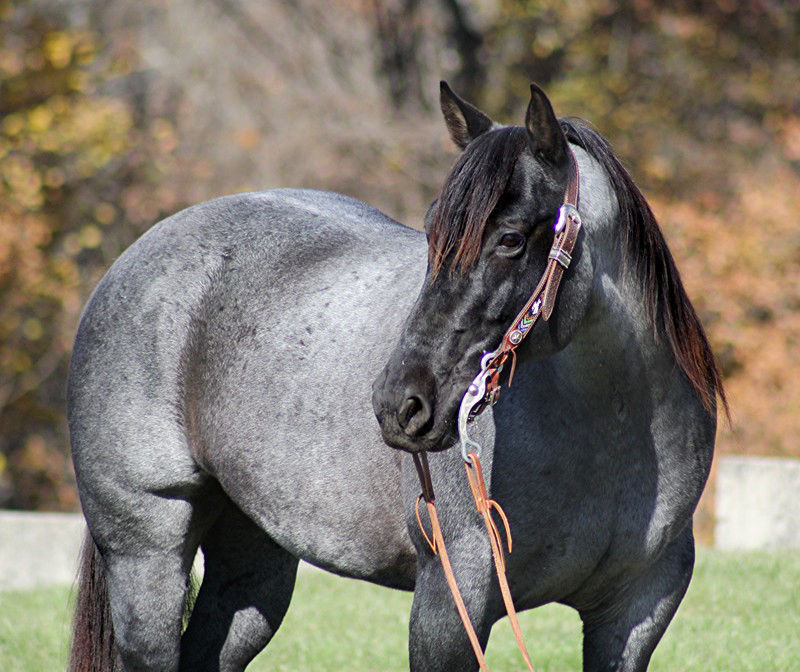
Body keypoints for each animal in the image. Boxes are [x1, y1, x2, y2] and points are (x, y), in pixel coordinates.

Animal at [68, 81, 723, 672]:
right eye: (432, 233)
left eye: (511, 239)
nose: (399, 404)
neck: (610, 425)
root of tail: (139, 253)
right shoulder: (452, 601)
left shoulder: (637, 611)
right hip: (147, 554)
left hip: (252, 562)